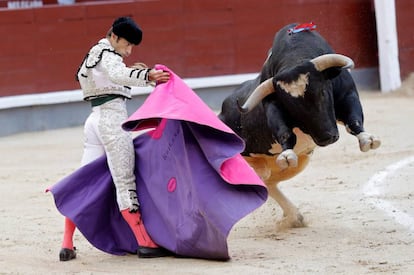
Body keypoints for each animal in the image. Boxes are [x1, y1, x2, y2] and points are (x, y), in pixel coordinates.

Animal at [218, 23, 380, 229]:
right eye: (290, 106)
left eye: (323, 92)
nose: (327, 137)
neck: (295, 55)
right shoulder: (273, 104)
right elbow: (283, 130)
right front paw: (287, 153)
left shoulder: (347, 93)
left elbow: (354, 120)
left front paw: (368, 139)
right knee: (259, 179)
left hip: (294, 165)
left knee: (267, 182)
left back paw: (294, 217)